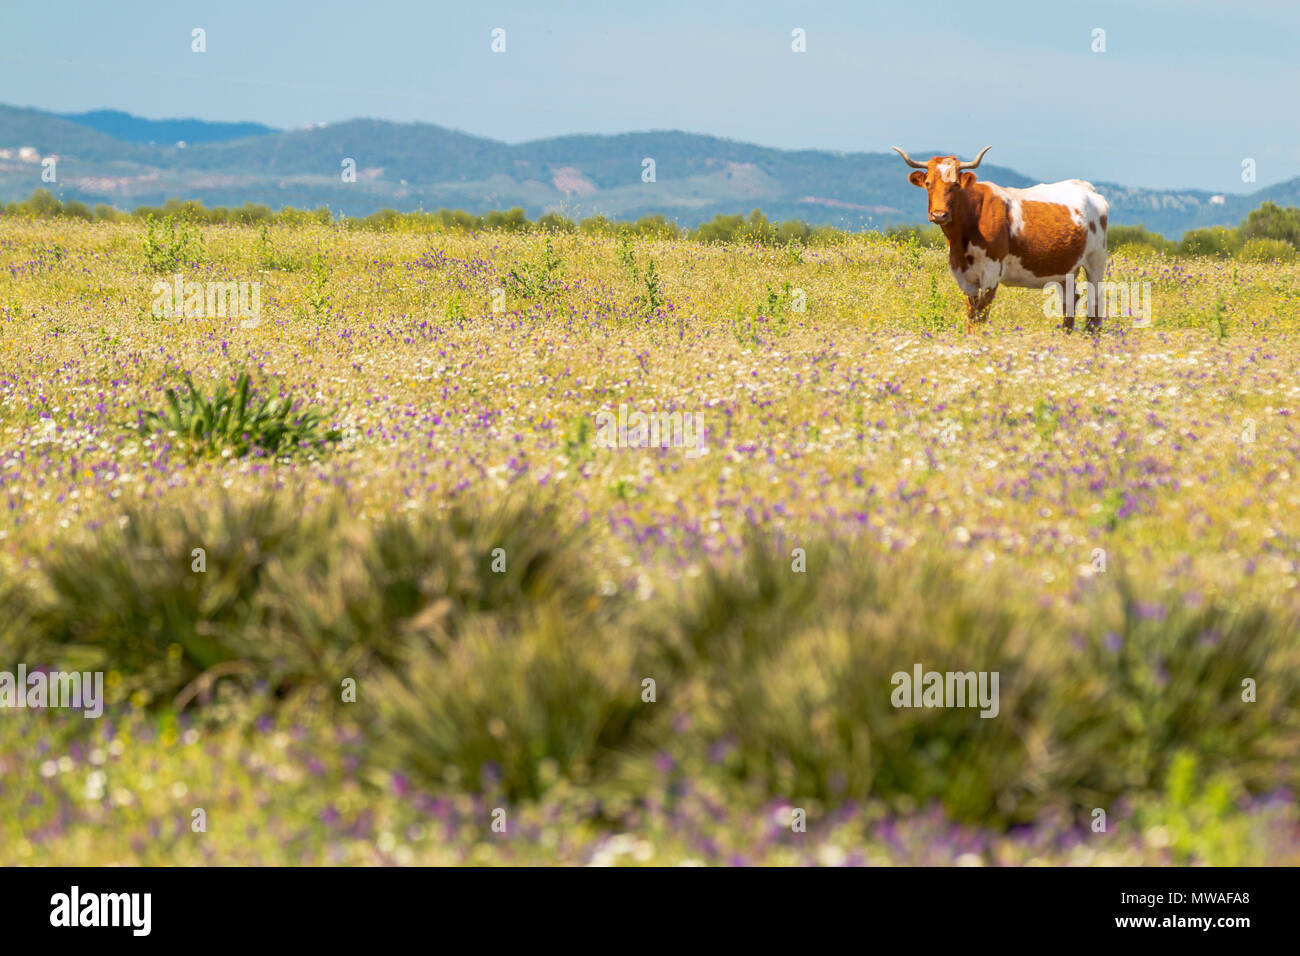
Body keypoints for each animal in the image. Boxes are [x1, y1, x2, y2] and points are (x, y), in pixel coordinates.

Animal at [894, 145, 1107, 332]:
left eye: (955, 184)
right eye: (928, 183)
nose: (939, 214)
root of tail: (1087, 188)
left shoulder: (991, 271)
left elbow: (981, 314)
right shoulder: (962, 274)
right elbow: (971, 314)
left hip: (1095, 260)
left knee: (1095, 300)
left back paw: (1091, 335)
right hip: (1064, 267)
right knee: (1070, 300)